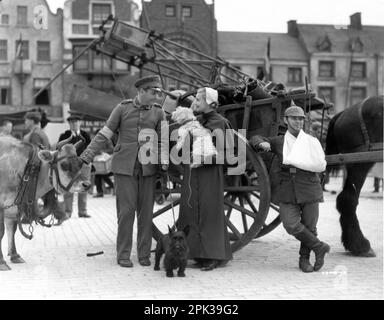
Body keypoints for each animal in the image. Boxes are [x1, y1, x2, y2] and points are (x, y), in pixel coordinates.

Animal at [0, 134, 91, 270]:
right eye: (64, 165)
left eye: (80, 164)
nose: (87, 184)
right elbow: (1, 232)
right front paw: (2, 262)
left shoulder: (14, 207)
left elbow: (12, 229)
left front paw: (15, 255)